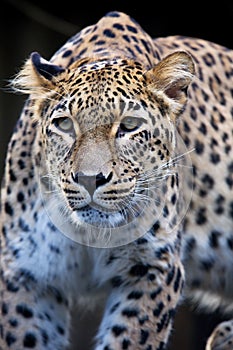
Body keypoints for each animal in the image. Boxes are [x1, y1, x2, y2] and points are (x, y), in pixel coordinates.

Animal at [0, 9, 232, 348]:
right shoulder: (26, 273)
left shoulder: (154, 267)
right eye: (65, 125)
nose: (89, 179)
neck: (88, 234)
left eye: (129, 126)